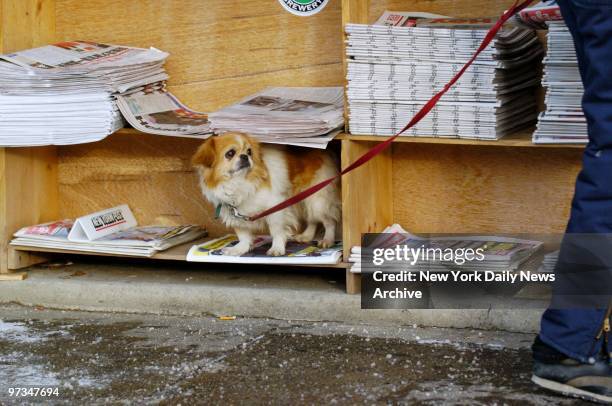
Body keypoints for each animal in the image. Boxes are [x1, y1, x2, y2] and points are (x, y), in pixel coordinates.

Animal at [192, 132, 342, 255]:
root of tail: (325, 151)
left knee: (328, 221)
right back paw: (306, 236)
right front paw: (240, 249)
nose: (245, 156)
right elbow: (243, 235)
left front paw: (277, 248)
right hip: (305, 198)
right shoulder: (235, 214)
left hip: (317, 200)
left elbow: (276, 231)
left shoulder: (276, 208)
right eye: (230, 153)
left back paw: (328, 240)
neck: (238, 183)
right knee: (313, 220)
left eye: (249, 152)